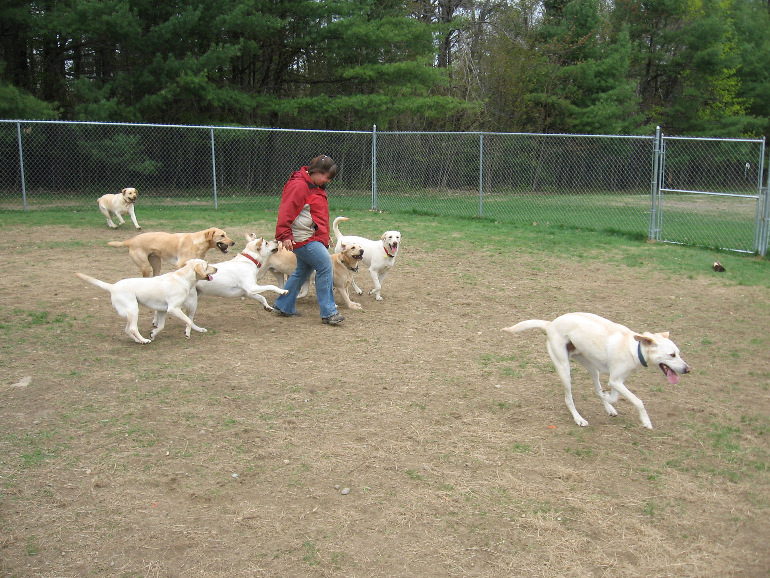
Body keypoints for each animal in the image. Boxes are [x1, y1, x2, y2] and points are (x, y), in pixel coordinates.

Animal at [76, 259, 217, 344]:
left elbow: (161, 326)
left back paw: (139, 340)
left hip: (131, 312)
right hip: (133, 309)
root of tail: (112, 286)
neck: (182, 278)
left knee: (128, 329)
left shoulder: (162, 310)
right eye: (207, 265)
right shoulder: (173, 309)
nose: (217, 269)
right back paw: (144, 341)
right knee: (133, 328)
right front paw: (187, 333)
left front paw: (153, 333)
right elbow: (188, 320)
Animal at [502, 312, 690, 429]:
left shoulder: (617, 380)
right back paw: (578, 418)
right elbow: (637, 401)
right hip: (564, 368)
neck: (634, 348)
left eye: (679, 353)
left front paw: (607, 398)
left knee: (596, 386)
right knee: (568, 398)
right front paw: (645, 421)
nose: (687, 369)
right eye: (672, 355)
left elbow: (613, 395)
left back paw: (607, 406)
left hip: (591, 366)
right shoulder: (615, 380)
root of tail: (551, 324)